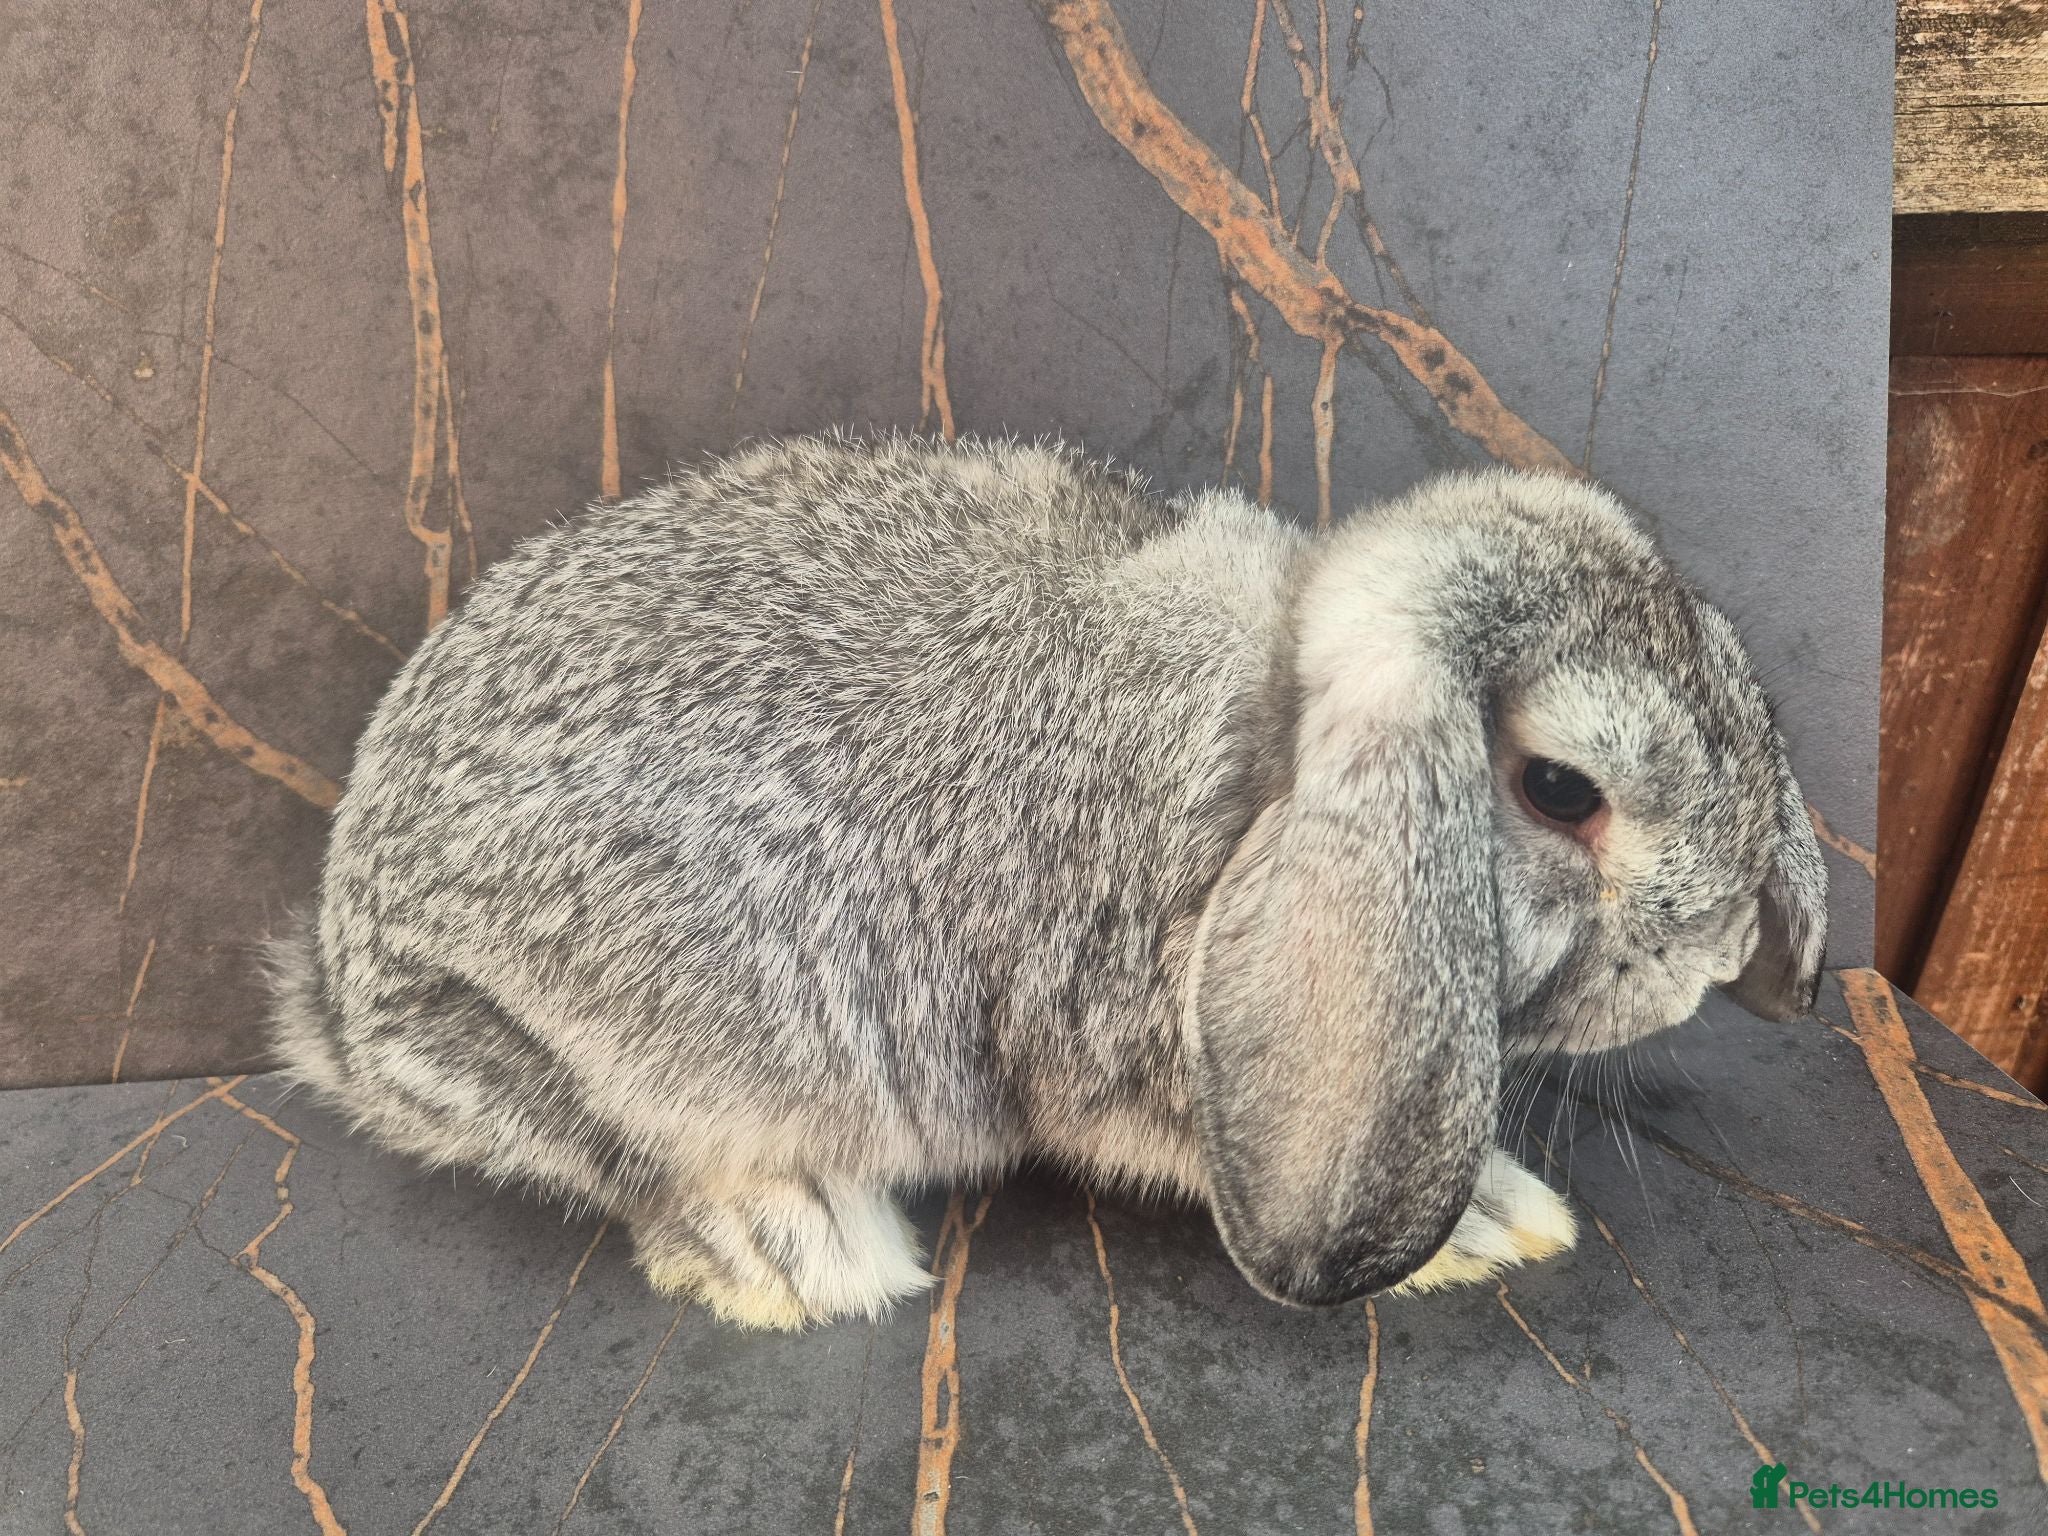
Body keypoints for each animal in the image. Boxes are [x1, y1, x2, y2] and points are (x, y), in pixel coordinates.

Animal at [267, 433, 1827, 1330]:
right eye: (1561, 792)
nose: (1709, 963)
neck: (1267, 756)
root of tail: (337, 1000)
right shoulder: (1117, 1040)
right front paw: (1493, 1221)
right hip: (556, 1044)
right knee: (625, 1157)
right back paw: (795, 1251)